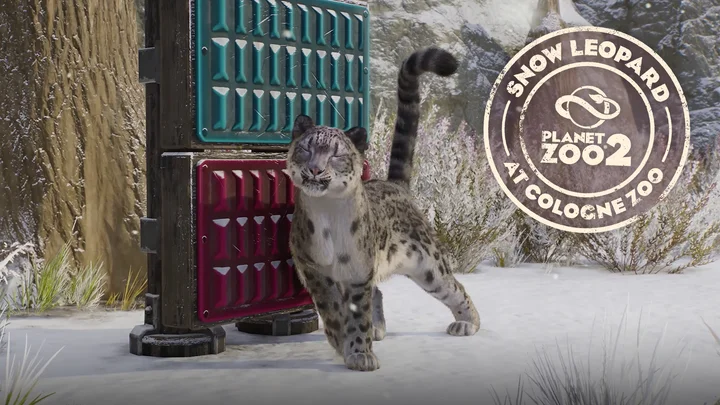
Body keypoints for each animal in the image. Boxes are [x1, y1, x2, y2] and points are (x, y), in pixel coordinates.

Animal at [286, 47, 481, 372]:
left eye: (336, 154)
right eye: (306, 148)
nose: (314, 169)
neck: (328, 217)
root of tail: (396, 185)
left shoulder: (358, 270)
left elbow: (358, 312)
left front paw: (359, 353)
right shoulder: (313, 268)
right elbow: (332, 309)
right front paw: (344, 341)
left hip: (428, 264)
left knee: (454, 287)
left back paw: (467, 323)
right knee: (377, 290)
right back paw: (377, 329)